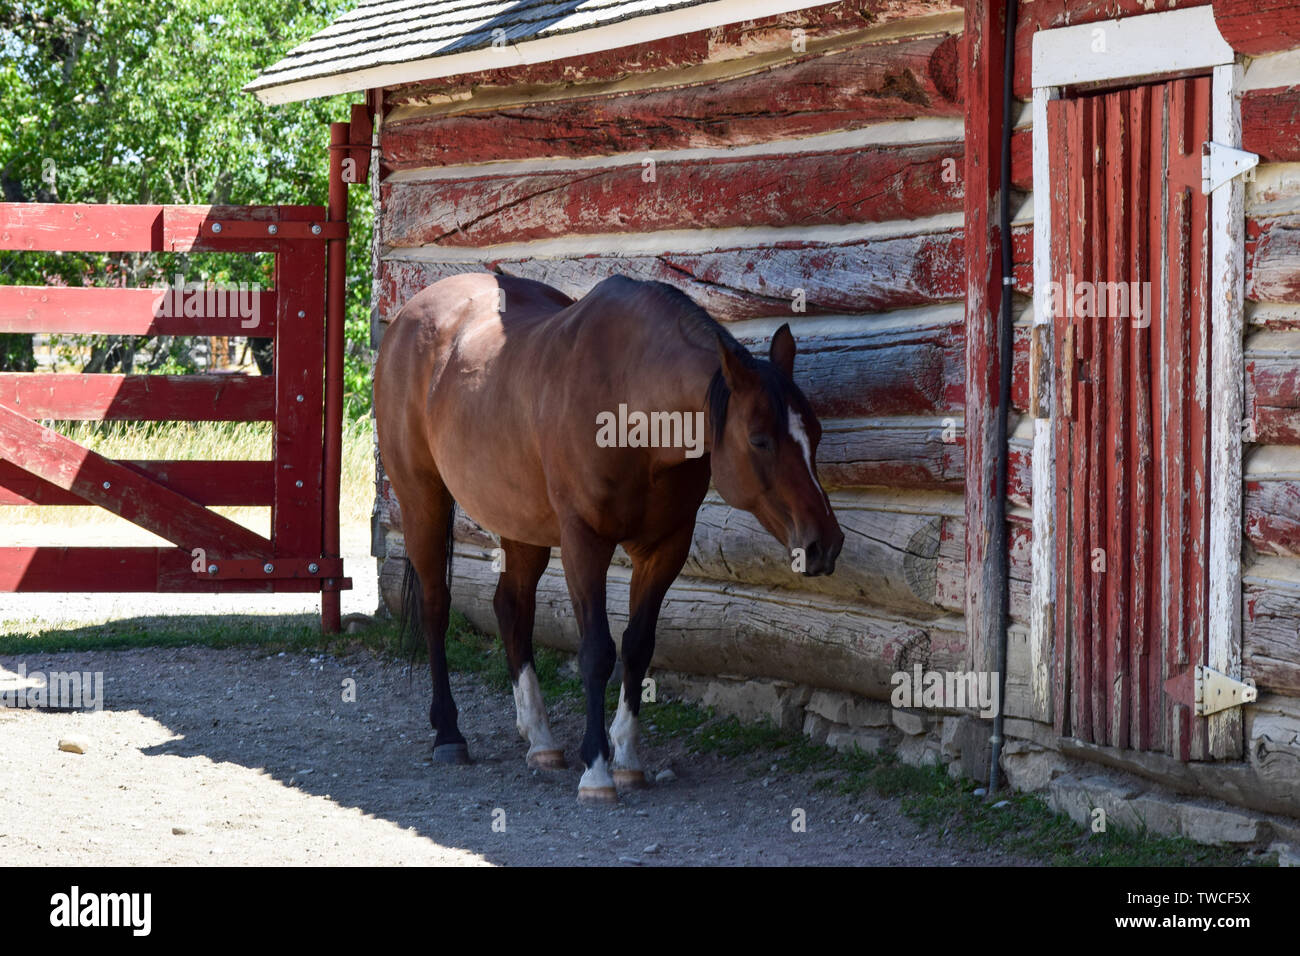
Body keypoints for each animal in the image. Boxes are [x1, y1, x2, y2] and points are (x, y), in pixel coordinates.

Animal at [374, 269, 842, 801]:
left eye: (816, 433)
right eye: (760, 440)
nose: (824, 543)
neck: (629, 403)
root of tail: (407, 318)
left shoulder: (666, 547)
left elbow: (638, 646)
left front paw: (628, 759)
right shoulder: (584, 542)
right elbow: (597, 651)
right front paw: (596, 770)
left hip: (521, 523)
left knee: (511, 609)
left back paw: (540, 740)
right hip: (422, 500)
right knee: (436, 607)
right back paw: (450, 734)